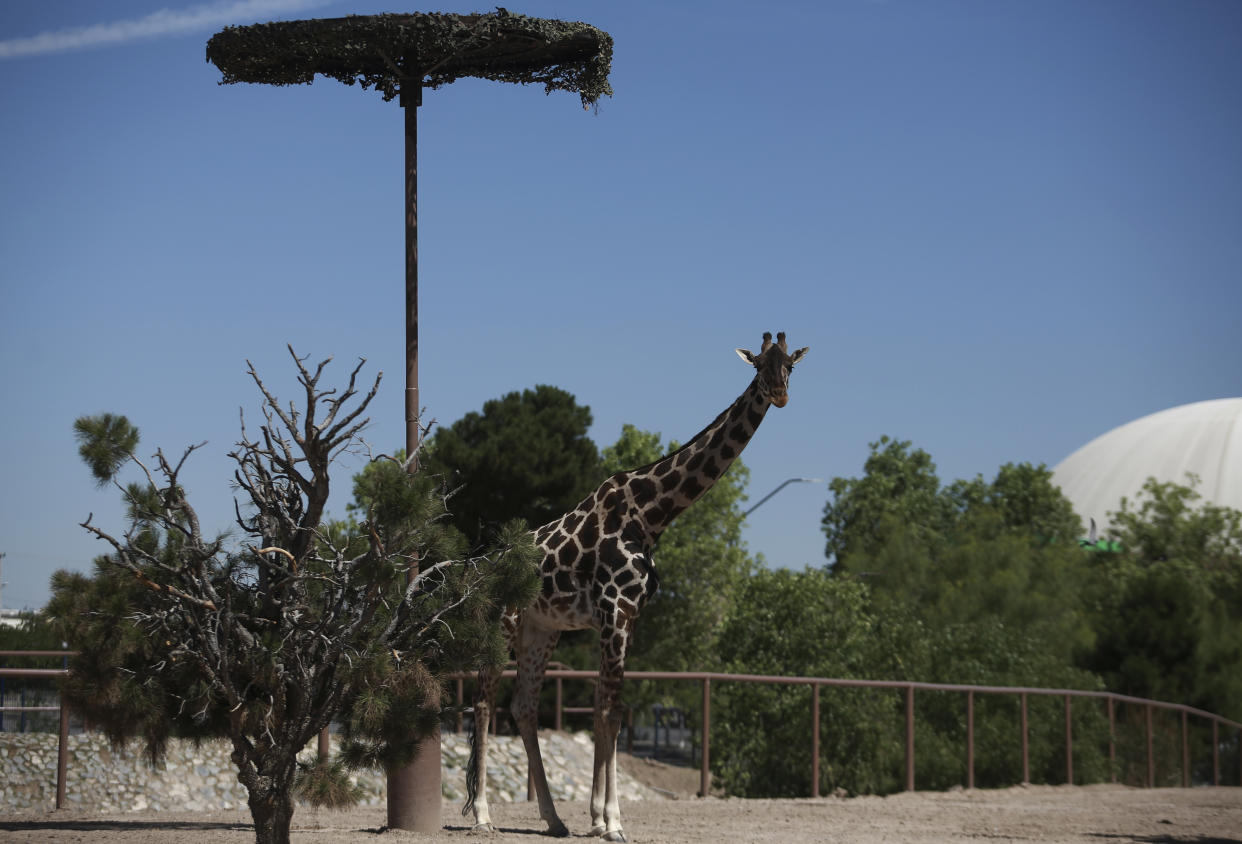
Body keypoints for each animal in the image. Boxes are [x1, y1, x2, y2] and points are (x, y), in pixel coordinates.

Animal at [464, 332, 804, 839]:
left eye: (791, 366)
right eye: (759, 365)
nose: (779, 393)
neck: (651, 516)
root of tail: (483, 569)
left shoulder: (627, 617)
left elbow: (609, 712)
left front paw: (595, 818)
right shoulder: (613, 611)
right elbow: (610, 712)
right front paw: (611, 822)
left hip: (541, 630)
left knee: (523, 706)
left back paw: (554, 819)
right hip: (501, 621)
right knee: (484, 702)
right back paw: (484, 816)